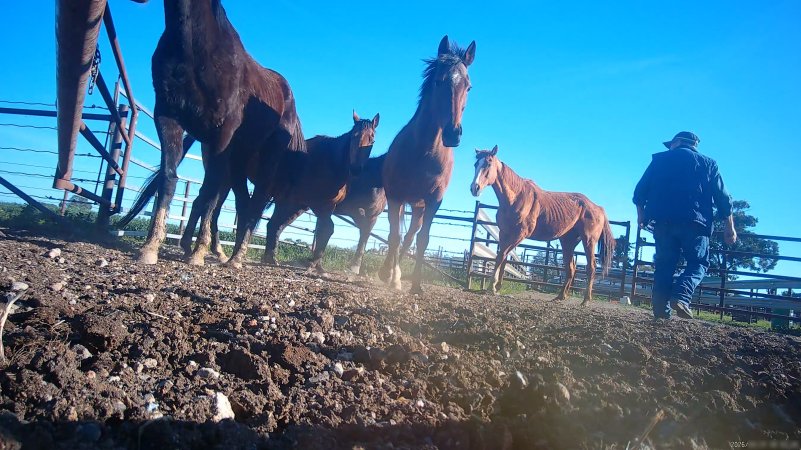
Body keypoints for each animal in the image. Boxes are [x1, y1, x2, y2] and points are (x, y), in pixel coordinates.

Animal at [124, 0, 304, 266]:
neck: (195, 51)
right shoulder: (167, 116)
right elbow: (169, 178)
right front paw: (150, 246)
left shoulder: (222, 132)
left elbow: (210, 191)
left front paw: (198, 252)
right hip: (238, 158)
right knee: (243, 202)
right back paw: (230, 254)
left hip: (265, 158)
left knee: (255, 201)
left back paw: (237, 256)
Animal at [255, 111, 379, 273]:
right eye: (354, 136)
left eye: (372, 139)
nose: (356, 169)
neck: (329, 162)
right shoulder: (319, 205)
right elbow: (327, 229)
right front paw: (314, 264)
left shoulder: (329, 206)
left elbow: (323, 231)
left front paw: (318, 265)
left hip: (292, 205)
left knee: (274, 225)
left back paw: (270, 259)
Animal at [378, 35, 476, 293]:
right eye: (439, 82)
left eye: (468, 86)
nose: (453, 134)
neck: (424, 152)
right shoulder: (395, 196)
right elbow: (393, 236)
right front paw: (389, 276)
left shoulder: (434, 201)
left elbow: (422, 240)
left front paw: (416, 285)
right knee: (397, 236)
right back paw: (390, 274)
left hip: (419, 207)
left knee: (410, 236)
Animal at [470, 145, 615, 304]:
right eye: (475, 164)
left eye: (488, 163)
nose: (474, 188)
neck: (516, 198)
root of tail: (598, 208)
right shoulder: (504, 233)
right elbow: (504, 258)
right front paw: (497, 287)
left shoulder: (519, 235)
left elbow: (500, 256)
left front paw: (491, 287)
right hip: (568, 242)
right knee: (571, 267)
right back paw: (560, 297)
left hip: (589, 241)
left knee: (591, 267)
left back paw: (586, 300)